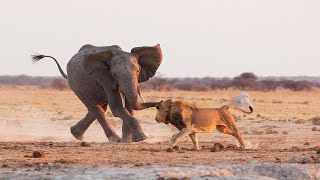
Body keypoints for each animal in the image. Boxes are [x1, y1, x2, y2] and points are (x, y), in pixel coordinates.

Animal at [31, 43, 162, 142]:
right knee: (96, 109)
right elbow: (117, 108)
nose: (160, 102)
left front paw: (128, 141)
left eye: (138, 70)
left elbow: (129, 107)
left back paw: (76, 134)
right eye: (114, 74)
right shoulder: (105, 78)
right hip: (76, 85)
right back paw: (114, 140)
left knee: (99, 108)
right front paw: (141, 139)